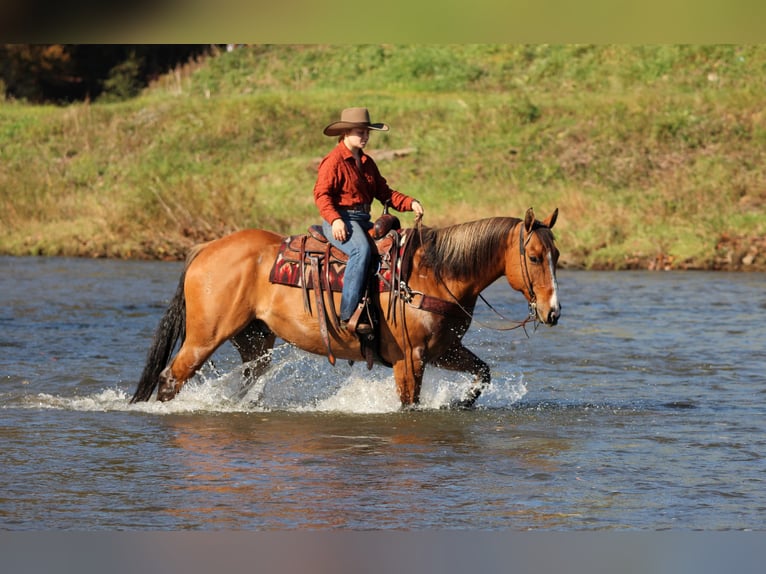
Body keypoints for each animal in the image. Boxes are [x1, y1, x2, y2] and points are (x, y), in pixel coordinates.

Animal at [130, 207, 560, 409]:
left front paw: (459, 403)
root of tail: (206, 248)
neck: (432, 273)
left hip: (254, 340)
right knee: (171, 378)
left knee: (248, 382)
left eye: (556, 255)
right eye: (534, 257)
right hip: (204, 337)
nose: (552, 312)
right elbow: (409, 404)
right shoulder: (410, 358)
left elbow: (483, 374)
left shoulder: (444, 350)